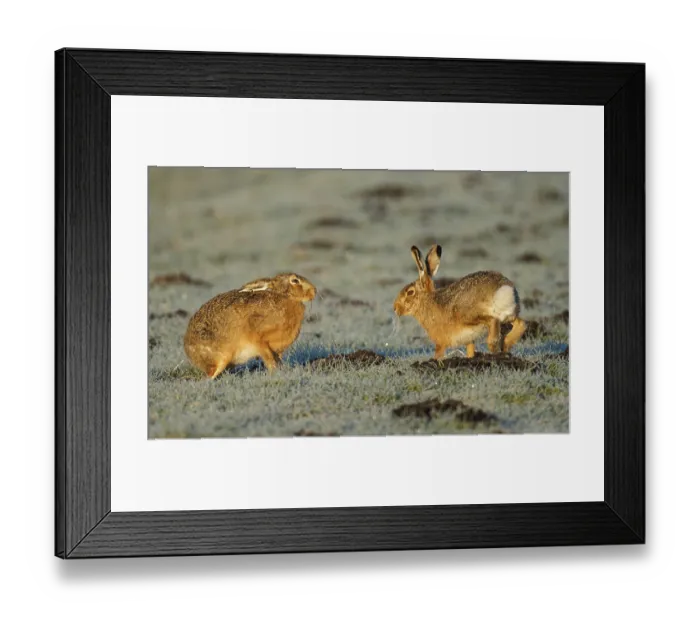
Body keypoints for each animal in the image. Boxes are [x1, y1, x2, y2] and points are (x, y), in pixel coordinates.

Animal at [184, 273, 317, 379]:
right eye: (295, 280)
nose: (314, 291)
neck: (285, 297)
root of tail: (191, 354)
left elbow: (277, 359)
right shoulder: (258, 338)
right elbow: (268, 357)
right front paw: (274, 372)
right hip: (221, 355)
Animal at [393, 244, 527, 360]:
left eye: (410, 292)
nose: (395, 308)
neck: (426, 300)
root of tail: (503, 289)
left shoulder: (440, 342)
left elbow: (438, 354)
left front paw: (433, 361)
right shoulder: (469, 339)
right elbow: (470, 351)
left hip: (469, 315)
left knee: (492, 322)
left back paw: (494, 350)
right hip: (508, 315)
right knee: (521, 324)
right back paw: (505, 346)